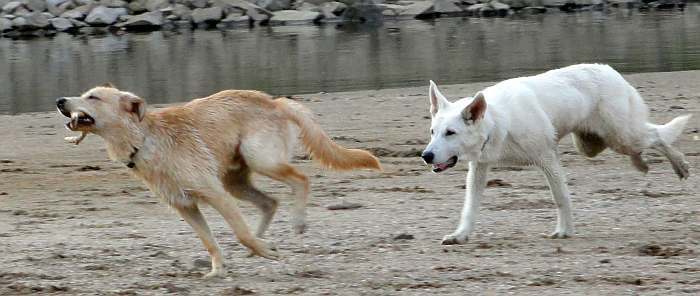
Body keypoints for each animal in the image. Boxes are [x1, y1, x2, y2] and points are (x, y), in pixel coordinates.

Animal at [56, 84, 380, 278]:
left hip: (259, 161)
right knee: (270, 202)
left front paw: (264, 251)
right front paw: (219, 269)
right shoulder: (186, 206)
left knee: (301, 179)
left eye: (93, 97)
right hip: (235, 182)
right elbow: (209, 241)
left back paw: (295, 223)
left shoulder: (214, 194)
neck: (144, 140)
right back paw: (260, 243)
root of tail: (275, 102)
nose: (59, 100)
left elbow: (239, 231)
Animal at [424, 63, 692, 244]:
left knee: (655, 135)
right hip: (593, 144)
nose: (425, 156)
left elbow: (560, 197)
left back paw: (679, 164)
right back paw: (641, 164)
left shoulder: (547, 158)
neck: (497, 122)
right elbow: (470, 206)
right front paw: (461, 235)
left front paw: (565, 231)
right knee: (645, 139)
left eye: (450, 133)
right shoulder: (479, 168)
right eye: (433, 132)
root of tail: (611, 71)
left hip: (621, 136)